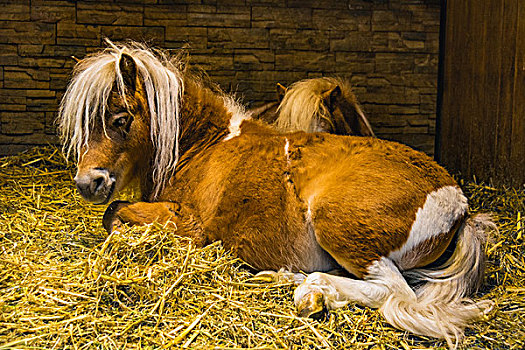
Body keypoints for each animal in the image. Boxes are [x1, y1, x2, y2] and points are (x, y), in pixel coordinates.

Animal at [59, 41, 494, 348]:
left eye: (120, 119)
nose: (87, 182)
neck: (205, 146)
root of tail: (460, 205)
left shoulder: (191, 226)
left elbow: (115, 214)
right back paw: (287, 280)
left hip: (338, 225)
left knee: (393, 291)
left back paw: (310, 291)